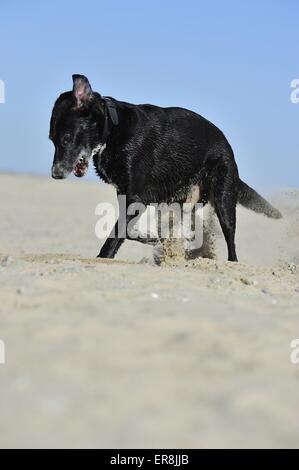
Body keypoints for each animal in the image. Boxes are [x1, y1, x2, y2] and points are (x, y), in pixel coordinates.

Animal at [49, 73, 284, 260]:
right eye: (52, 139)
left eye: (66, 139)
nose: (55, 174)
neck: (113, 129)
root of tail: (227, 147)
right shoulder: (130, 196)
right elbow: (129, 230)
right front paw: (152, 239)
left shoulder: (135, 197)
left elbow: (117, 231)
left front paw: (103, 256)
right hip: (181, 203)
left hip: (223, 198)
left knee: (231, 240)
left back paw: (229, 262)